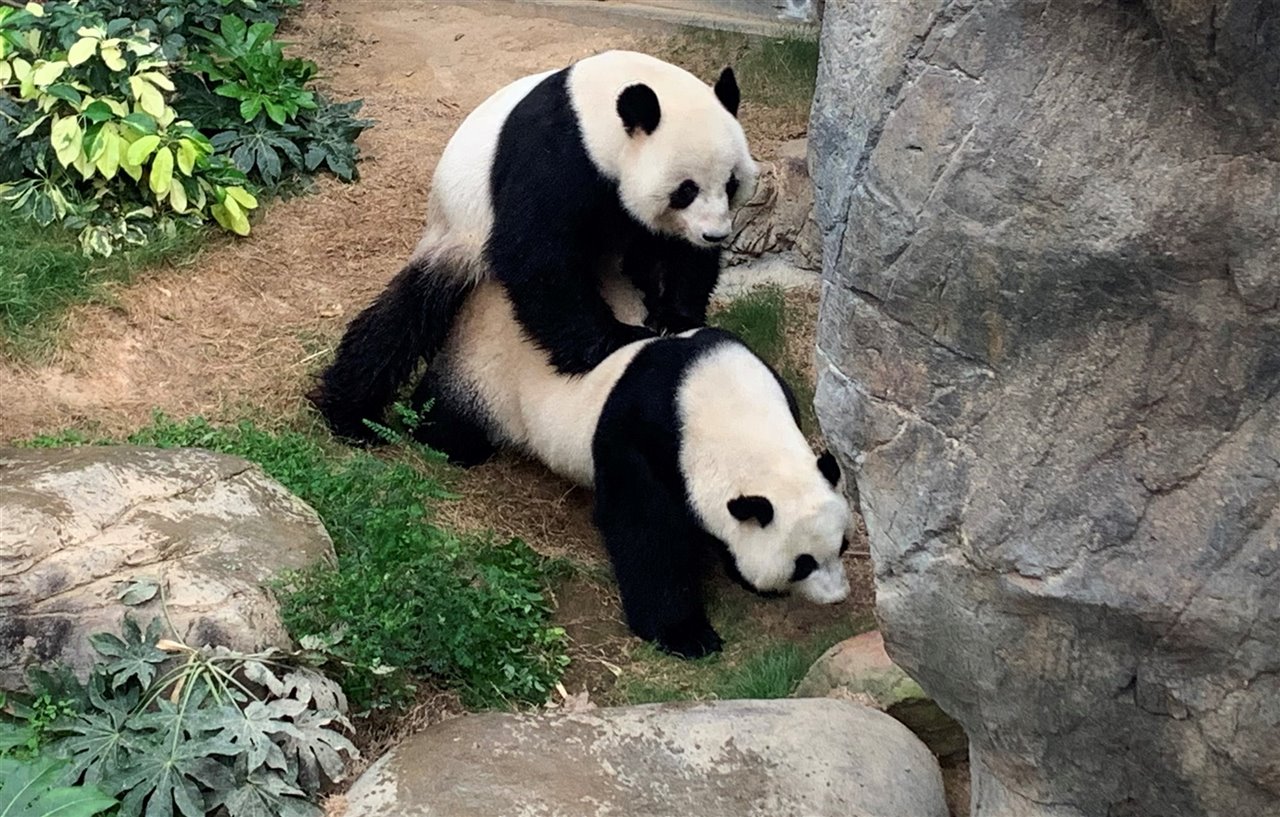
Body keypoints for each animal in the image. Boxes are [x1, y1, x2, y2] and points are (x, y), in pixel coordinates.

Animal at [309, 51, 757, 445]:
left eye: (731, 183)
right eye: (686, 190)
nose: (715, 235)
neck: (598, 112)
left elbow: (675, 253)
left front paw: (674, 316)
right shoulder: (556, 153)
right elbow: (535, 254)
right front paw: (615, 338)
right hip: (456, 233)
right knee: (402, 320)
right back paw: (351, 416)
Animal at [414, 279, 855, 660]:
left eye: (843, 546)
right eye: (803, 563)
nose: (838, 596)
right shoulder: (642, 437)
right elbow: (645, 531)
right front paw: (686, 635)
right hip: (487, 372)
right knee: (450, 417)